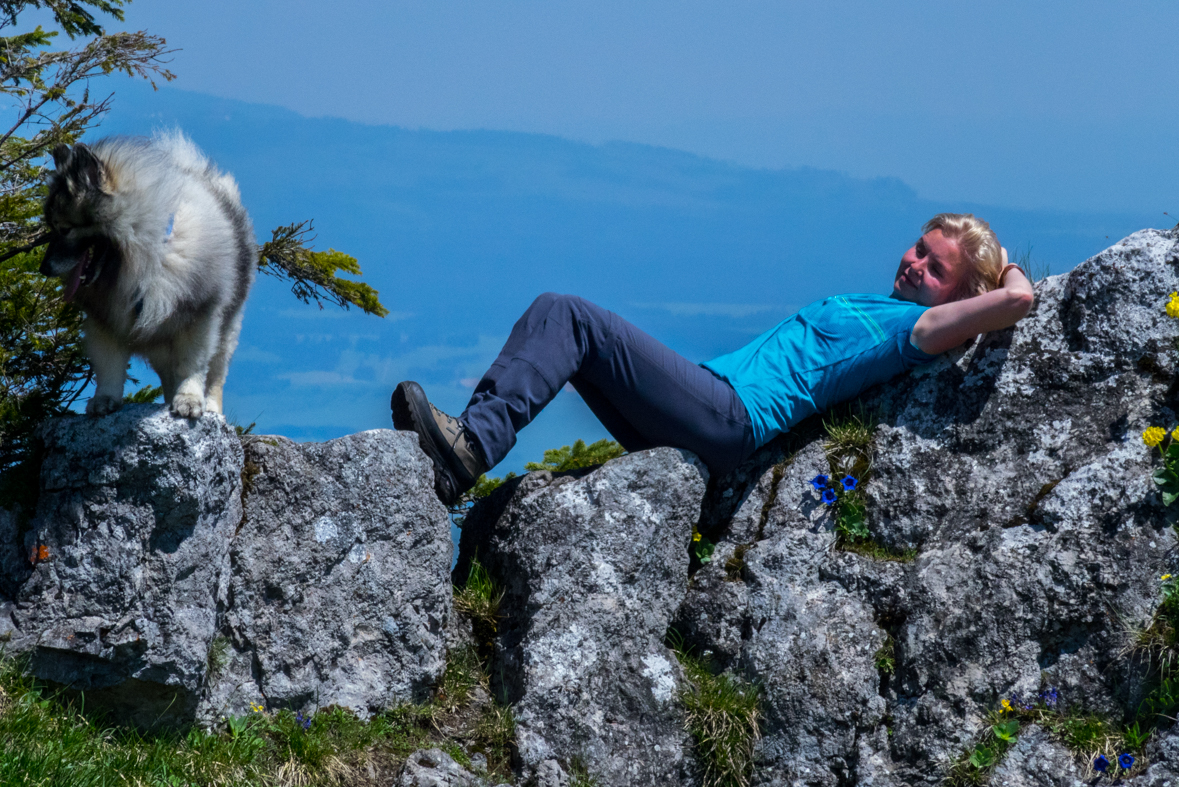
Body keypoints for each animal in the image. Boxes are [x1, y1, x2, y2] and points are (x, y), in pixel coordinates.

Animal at [39, 133, 255, 417]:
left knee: (216, 372)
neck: (145, 256)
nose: (44, 268)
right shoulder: (107, 321)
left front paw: (189, 399)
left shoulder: (199, 315)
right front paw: (104, 399)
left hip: (226, 328)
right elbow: (109, 366)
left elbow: (192, 364)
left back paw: (211, 408)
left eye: (64, 229)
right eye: (52, 227)